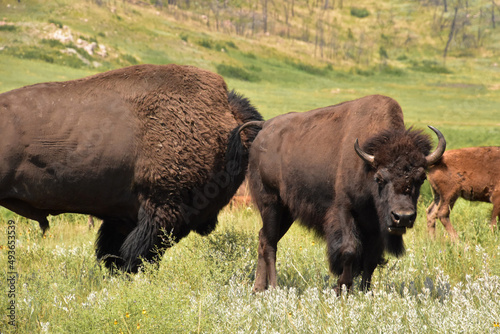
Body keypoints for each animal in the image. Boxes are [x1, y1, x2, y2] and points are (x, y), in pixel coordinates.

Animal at [242, 94, 446, 292]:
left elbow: (371, 260)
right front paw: (342, 288)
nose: (403, 217)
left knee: (263, 237)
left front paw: (366, 292)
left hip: (287, 212)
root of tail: (264, 128)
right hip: (271, 203)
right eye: (380, 178)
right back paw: (273, 288)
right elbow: (349, 249)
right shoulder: (344, 210)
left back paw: (258, 288)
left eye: (421, 178)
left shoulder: (376, 225)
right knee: (270, 243)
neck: (367, 167)